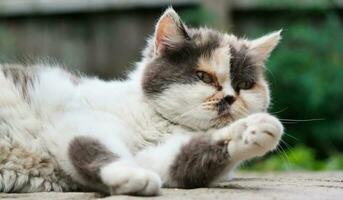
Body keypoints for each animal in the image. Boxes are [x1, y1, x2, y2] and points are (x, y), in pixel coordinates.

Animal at [0, 7, 284, 195]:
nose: (230, 97)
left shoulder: (157, 156)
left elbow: (184, 158)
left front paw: (249, 130)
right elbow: (95, 147)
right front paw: (130, 174)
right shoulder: (77, 120)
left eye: (244, 85)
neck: (158, 121)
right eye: (203, 77)